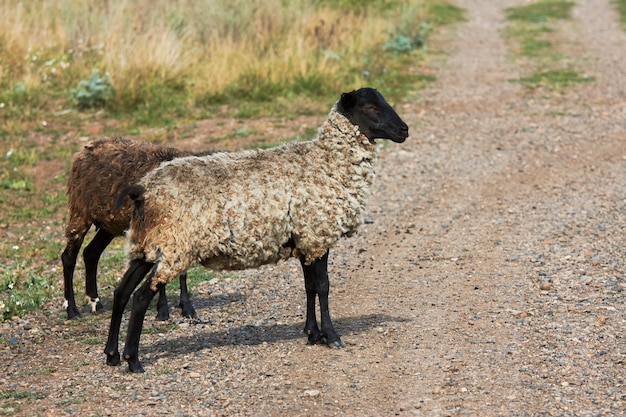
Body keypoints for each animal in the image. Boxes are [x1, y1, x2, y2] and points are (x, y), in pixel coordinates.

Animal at [103, 87, 408, 370]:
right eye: (370, 107)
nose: (404, 130)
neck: (326, 163)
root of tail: (142, 190)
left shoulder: (304, 240)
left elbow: (309, 287)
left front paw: (312, 333)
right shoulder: (317, 235)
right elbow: (322, 287)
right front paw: (331, 336)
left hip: (148, 244)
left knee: (122, 292)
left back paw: (112, 355)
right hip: (173, 246)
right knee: (141, 297)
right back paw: (133, 360)